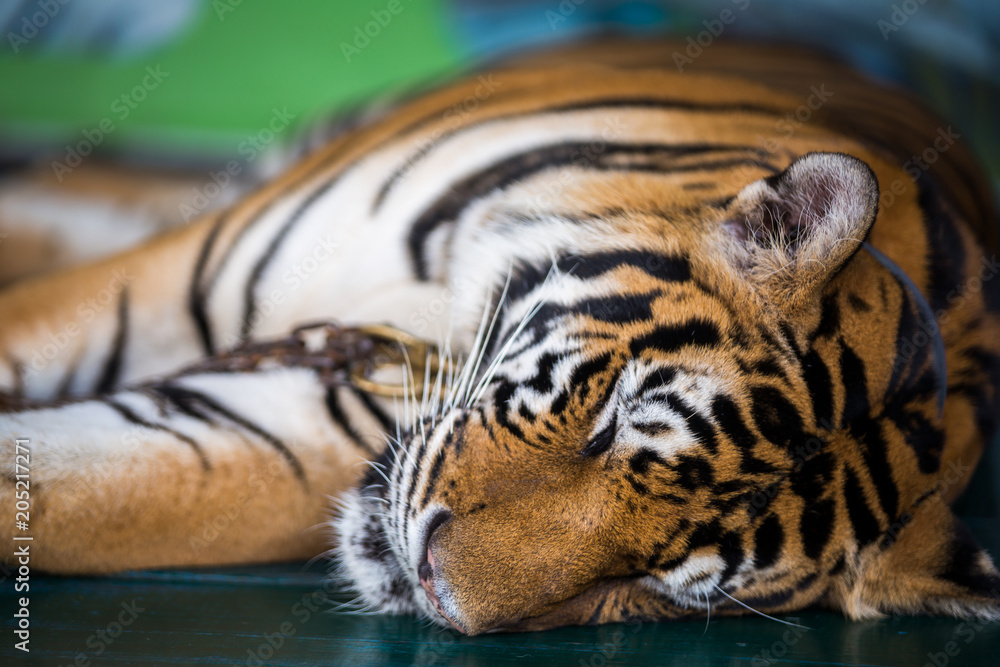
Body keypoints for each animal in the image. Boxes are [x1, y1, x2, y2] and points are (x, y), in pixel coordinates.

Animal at [1, 39, 999, 636]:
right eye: (610, 425)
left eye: (644, 581)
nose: (434, 588)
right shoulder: (173, 281)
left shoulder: (280, 436)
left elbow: (70, 492)